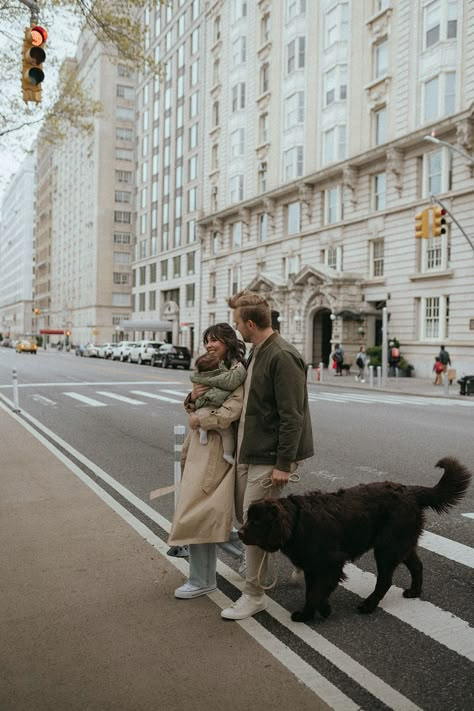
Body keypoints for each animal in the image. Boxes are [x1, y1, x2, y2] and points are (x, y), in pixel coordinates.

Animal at [239, 458, 472, 620]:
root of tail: (410, 491)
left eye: (257, 522)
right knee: (417, 565)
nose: (240, 533)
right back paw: (414, 591)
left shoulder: (331, 562)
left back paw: (368, 605)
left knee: (385, 580)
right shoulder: (313, 565)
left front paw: (311, 614)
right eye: (248, 518)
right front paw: (318, 610)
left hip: (387, 548)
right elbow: (312, 592)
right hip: (400, 544)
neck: (298, 522)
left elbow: (315, 593)